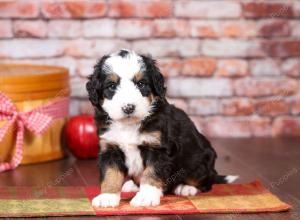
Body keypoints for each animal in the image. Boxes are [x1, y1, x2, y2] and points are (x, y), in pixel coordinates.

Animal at [85, 48, 237, 208]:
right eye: (112, 86)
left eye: (141, 84)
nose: (128, 107)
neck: (130, 124)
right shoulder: (110, 148)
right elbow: (110, 174)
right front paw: (107, 197)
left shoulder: (158, 148)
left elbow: (151, 173)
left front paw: (146, 197)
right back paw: (132, 185)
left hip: (200, 161)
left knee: (205, 182)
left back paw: (186, 187)